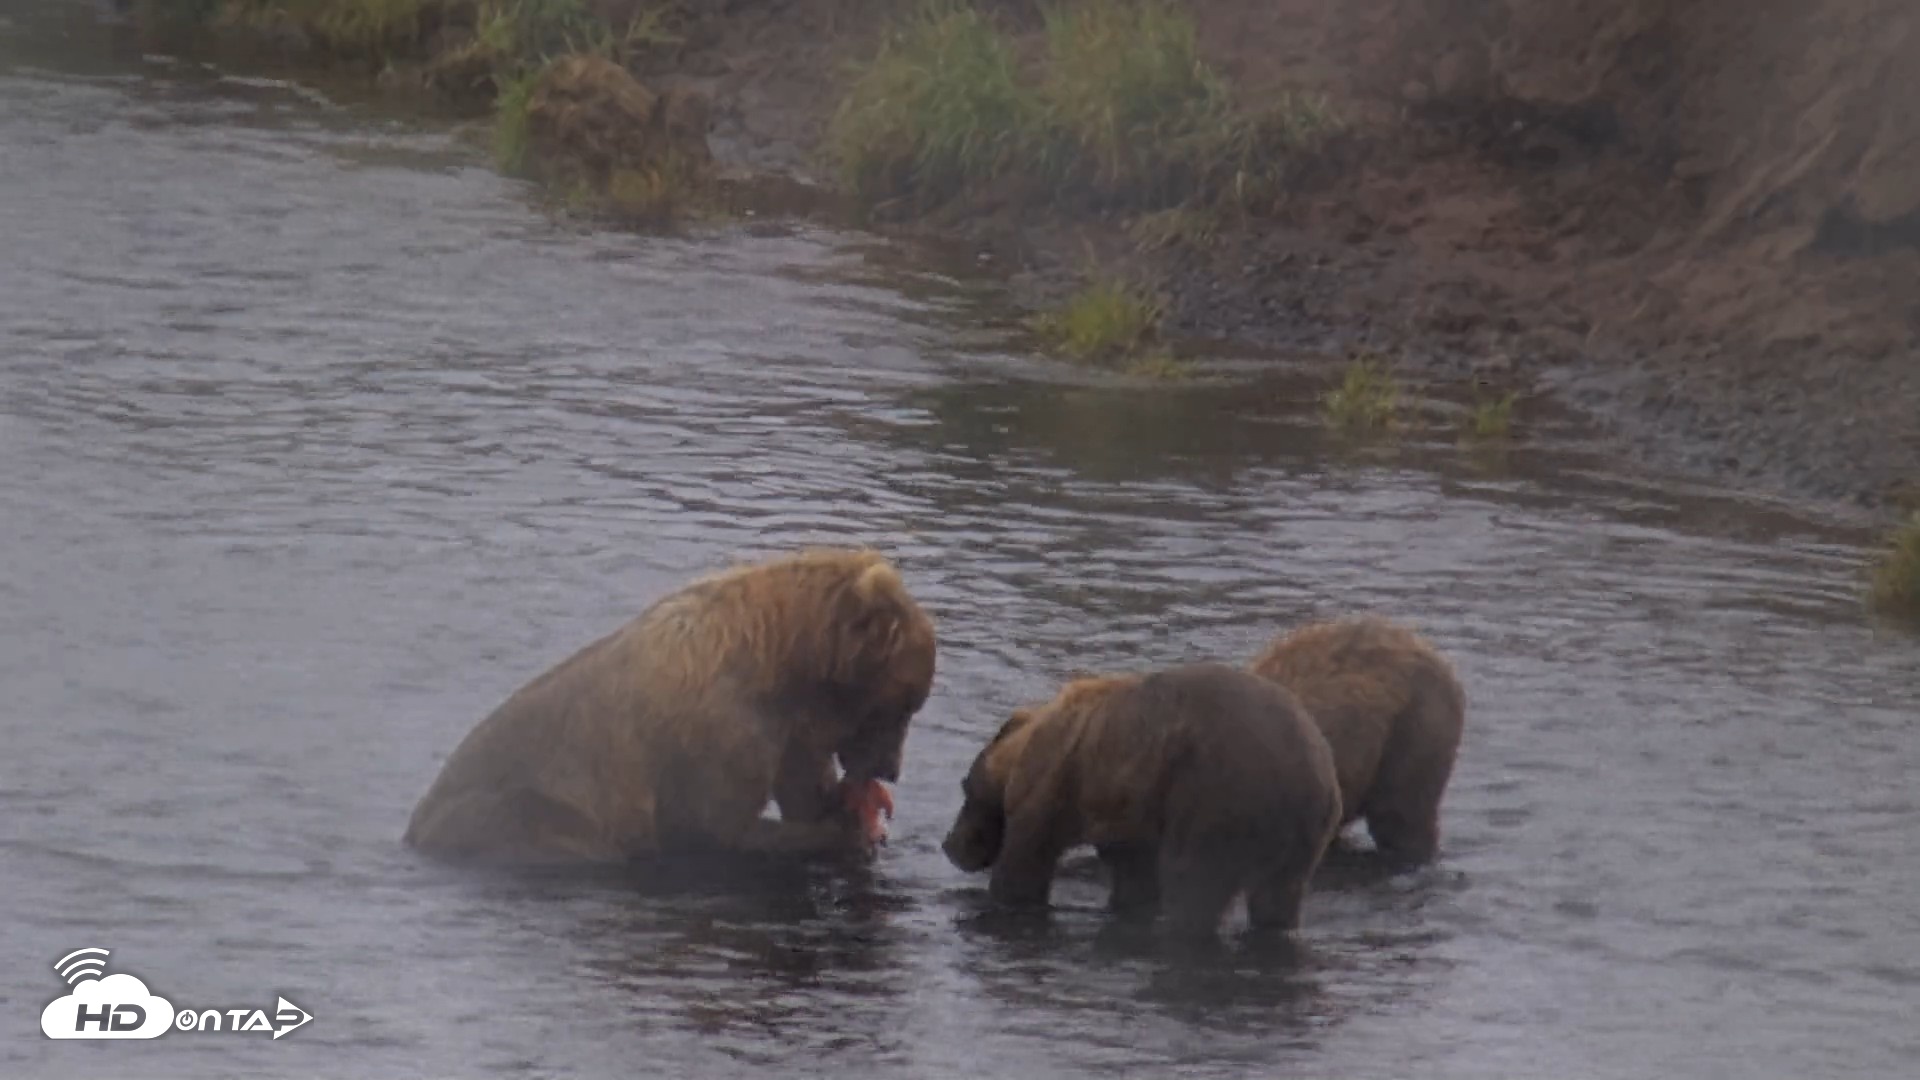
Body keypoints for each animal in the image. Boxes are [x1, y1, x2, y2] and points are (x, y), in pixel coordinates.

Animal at [403, 548, 936, 865]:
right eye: (903, 706)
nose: (890, 769)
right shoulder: (719, 728)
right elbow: (714, 828)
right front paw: (849, 834)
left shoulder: (790, 731)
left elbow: (803, 787)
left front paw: (850, 808)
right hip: (521, 811)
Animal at [940, 662, 1342, 937]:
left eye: (965, 787)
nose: (950, 844)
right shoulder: (1126, 807)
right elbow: (1134, 875)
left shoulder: (1054, 785)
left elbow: (1025, 859)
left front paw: (1005, 898)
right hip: (1300, 836)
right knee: (1277, 897)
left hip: (1214, 796)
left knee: (1193, 883)